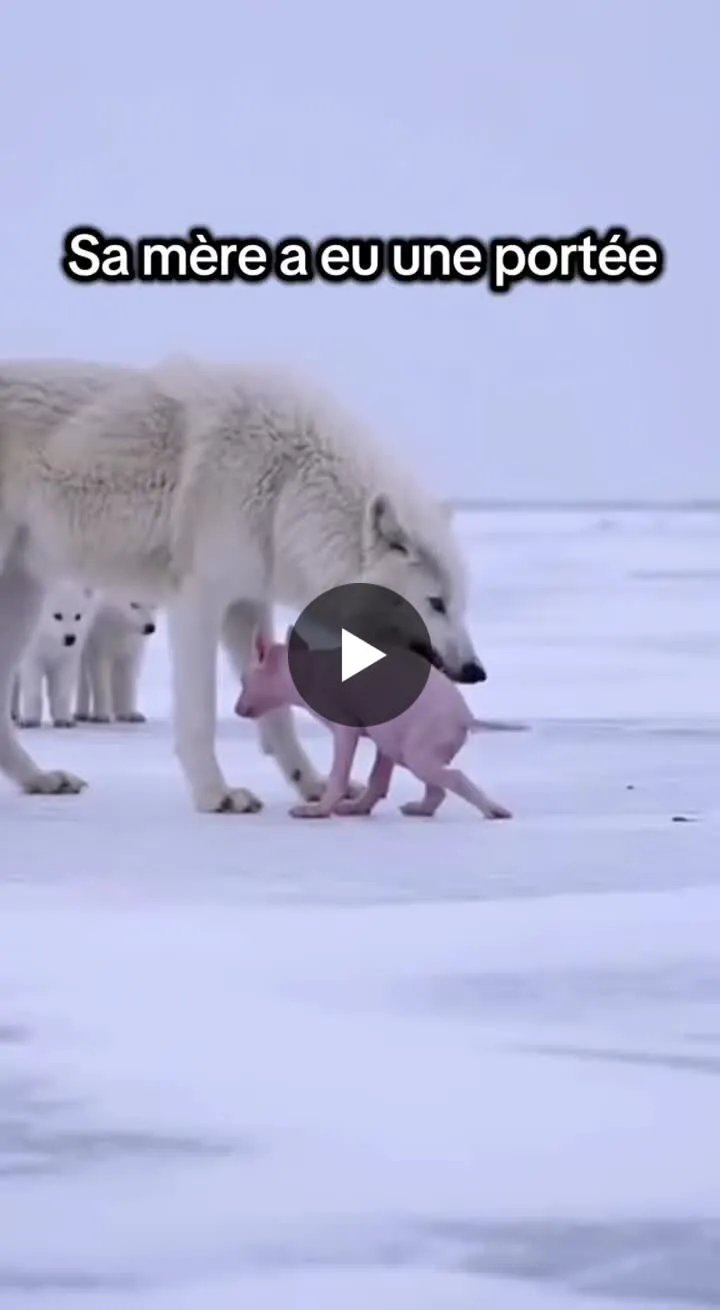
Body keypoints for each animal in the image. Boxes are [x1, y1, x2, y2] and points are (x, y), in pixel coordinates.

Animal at [11, 580, 98, 728]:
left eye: (78, 616)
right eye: (57, 615)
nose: (70, 638)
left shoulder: (67, 657)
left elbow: (62, 689)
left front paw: (65, 720)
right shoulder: (33, 653)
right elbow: (32, 687)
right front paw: (29, 720)